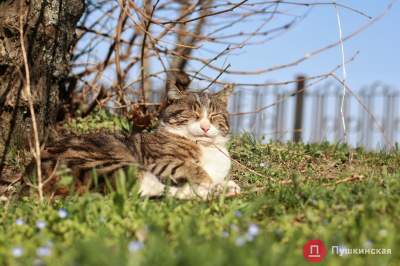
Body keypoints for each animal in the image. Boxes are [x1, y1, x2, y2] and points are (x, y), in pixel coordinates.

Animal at [32, 77, 239, 200]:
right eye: (193, 114)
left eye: (213, 116)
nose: (205, 127)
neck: (206, 148)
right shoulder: (158, 161)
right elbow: (191, 168)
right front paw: (209, 183)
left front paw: (221, 184)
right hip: (109, 163)